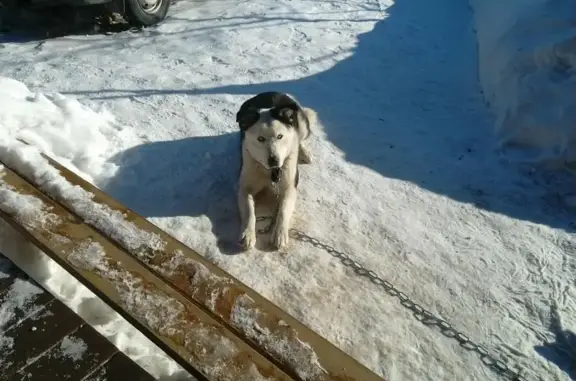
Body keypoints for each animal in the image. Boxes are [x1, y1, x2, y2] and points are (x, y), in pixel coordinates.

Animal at [236, 90, 318, 249]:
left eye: (280, 136)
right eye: (260, 139)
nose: (274, 160)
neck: (270, 172)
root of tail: (273, 92)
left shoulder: (290, 187)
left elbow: (284, 210)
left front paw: (280, 233)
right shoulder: (245, 187)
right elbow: (249, 211)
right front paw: (248, 233)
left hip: (300, 123)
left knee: (300, 138)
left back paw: (304, 152)